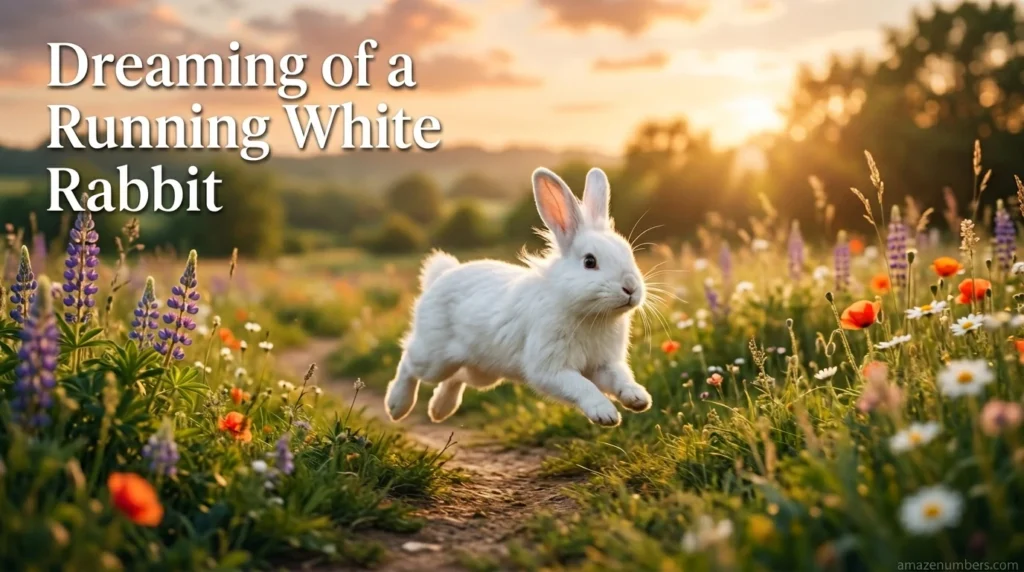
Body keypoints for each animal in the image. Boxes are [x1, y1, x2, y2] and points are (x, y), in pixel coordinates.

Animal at [384, 166, 651, 427]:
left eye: (628, 253)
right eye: (590, 262)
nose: (631, 287)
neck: (587, 312)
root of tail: (441, 275)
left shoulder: (604, 364)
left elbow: (620, 378)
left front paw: (638, 399)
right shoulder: (550, 369)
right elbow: (583, 387)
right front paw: (605, 414)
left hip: (483, 371)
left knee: (456, 378)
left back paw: (440, 410)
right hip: (434, 356)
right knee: (408, 362)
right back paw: (397, 406)